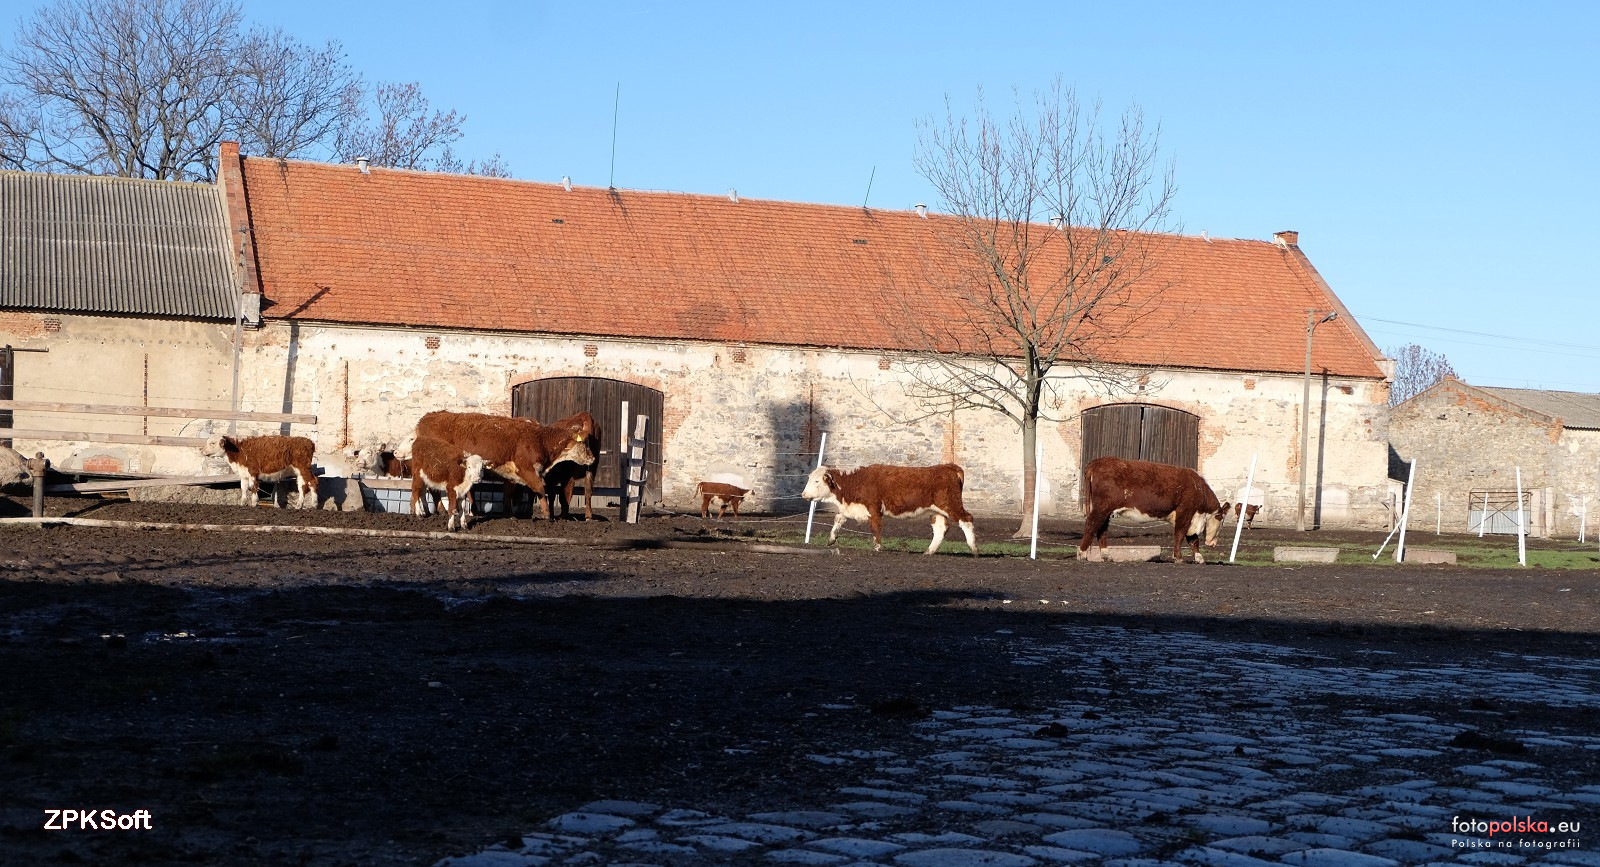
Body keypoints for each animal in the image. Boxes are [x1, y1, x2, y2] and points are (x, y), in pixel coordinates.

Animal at [413, 411, 595, 518]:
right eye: (584, 443)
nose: (592, 457)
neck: (539, 439)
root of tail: (428, 417)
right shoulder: (526, 469)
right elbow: (540, 488)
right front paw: (547, 514)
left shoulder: (512, 473)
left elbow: (509, 491)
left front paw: (510, 514)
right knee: (432, 489)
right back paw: (439, 510)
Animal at [802, 464, 978, 556]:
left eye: (817, 481)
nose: (803, 494)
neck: (856, 482)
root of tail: (949, 466)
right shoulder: (851, 508)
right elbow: (838, 519)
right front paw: (831, 539)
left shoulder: (874, 508)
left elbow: (875, 527)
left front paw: (878, 547)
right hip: (937, 511)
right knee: (941, 528)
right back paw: (929, 551)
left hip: (951, 505)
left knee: (966, 519)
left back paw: (974, 548)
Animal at [1078, 456, 1230, 564]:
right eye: (1221, 520)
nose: (1213, 543)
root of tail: (1097, 462)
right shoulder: (1185, 512)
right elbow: (1180, 535)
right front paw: (1178, 557)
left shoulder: (1190, 517)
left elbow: (1193, 539)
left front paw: (1199, 558)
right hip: (1101, 507)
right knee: (1091, 525)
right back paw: (1082, 553)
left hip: (1106, 510)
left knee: (1102, 530)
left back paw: (1106, 556)